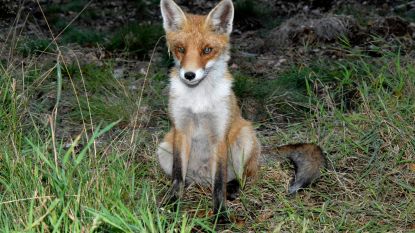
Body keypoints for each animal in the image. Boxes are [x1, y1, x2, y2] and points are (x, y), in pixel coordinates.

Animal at [158, 0, 326, 219]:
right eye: (180, 49)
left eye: (207, 50)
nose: (189, 75)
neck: (199, 99)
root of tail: (202, 180)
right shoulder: (181, 130)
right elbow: (178, 176)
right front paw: (172, 205)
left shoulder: (220, 134)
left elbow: (219, 184)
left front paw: (220, 215)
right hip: (164, 148)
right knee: (189, 179)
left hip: (245, 137)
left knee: (246, 176)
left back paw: (234, 188)